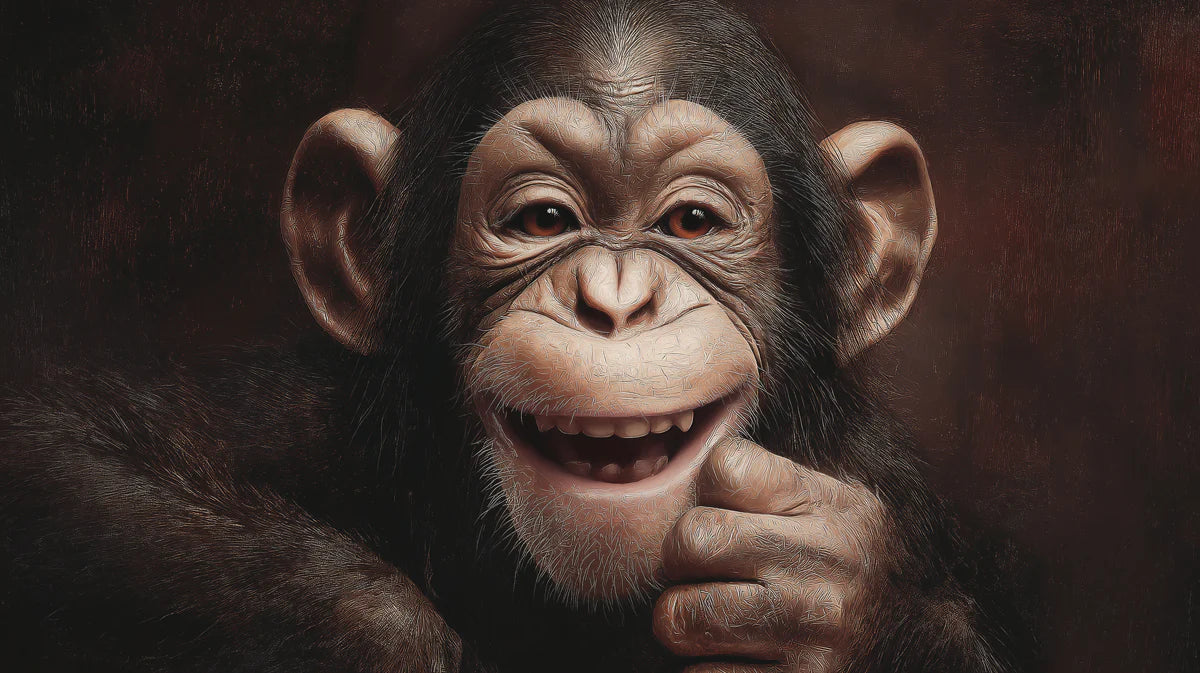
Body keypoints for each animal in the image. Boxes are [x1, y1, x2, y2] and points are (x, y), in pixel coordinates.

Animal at [0, 1, 1024, 671]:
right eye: (542, 220)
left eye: (691, 221)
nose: (614, 302)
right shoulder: (297, 415)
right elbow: (55, 453)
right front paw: (375, 634)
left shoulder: (888, 478)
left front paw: (836, 604)